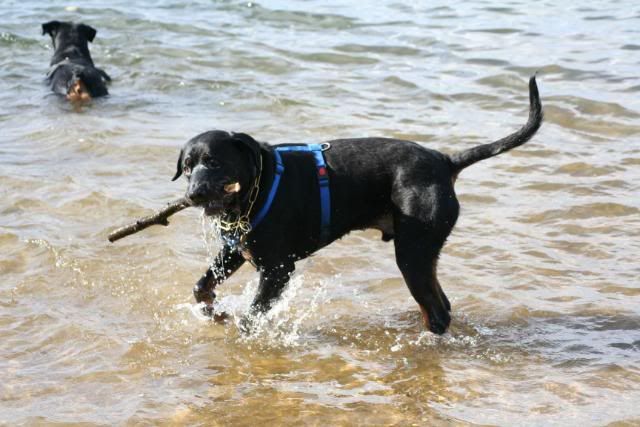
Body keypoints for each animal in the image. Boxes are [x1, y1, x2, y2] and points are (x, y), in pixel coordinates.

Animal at [172, 78, 544, 336]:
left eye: (214, 162)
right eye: (188, 166)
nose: (194, 193)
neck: (256, 188)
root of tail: (445, 161)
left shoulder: (278, 269)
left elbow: (251, 318)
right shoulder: (236, 250)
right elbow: (201, 287)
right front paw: (215, 313)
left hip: (413, 252)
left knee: (437, 311)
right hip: (422, 254)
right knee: (442, 304)